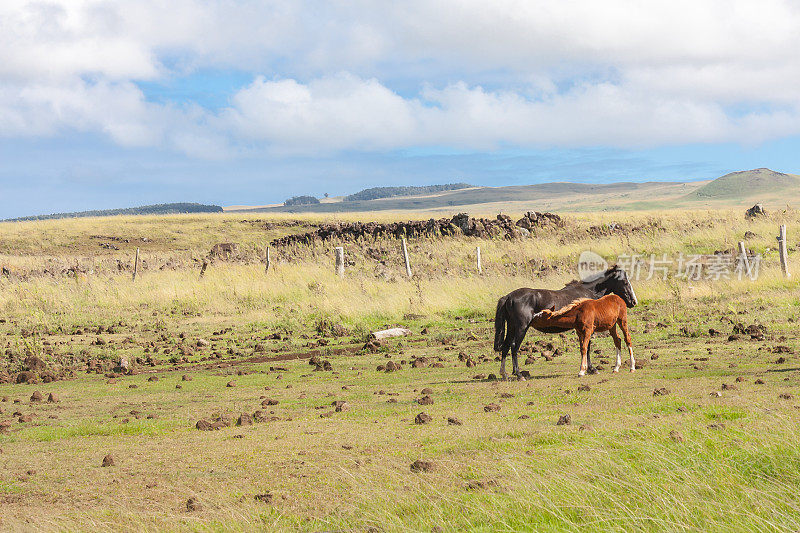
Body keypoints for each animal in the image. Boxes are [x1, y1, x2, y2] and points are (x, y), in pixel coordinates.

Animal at [494, 266, 636, 378]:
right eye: (625, 282)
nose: (633, 302)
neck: (589, 292)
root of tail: (509, 297)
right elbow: (588, 347)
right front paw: (591, 369)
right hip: (521, 328)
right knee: (514, 347)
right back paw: (518, 374)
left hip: (511, 327)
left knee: (506, 346)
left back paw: (504, 373)